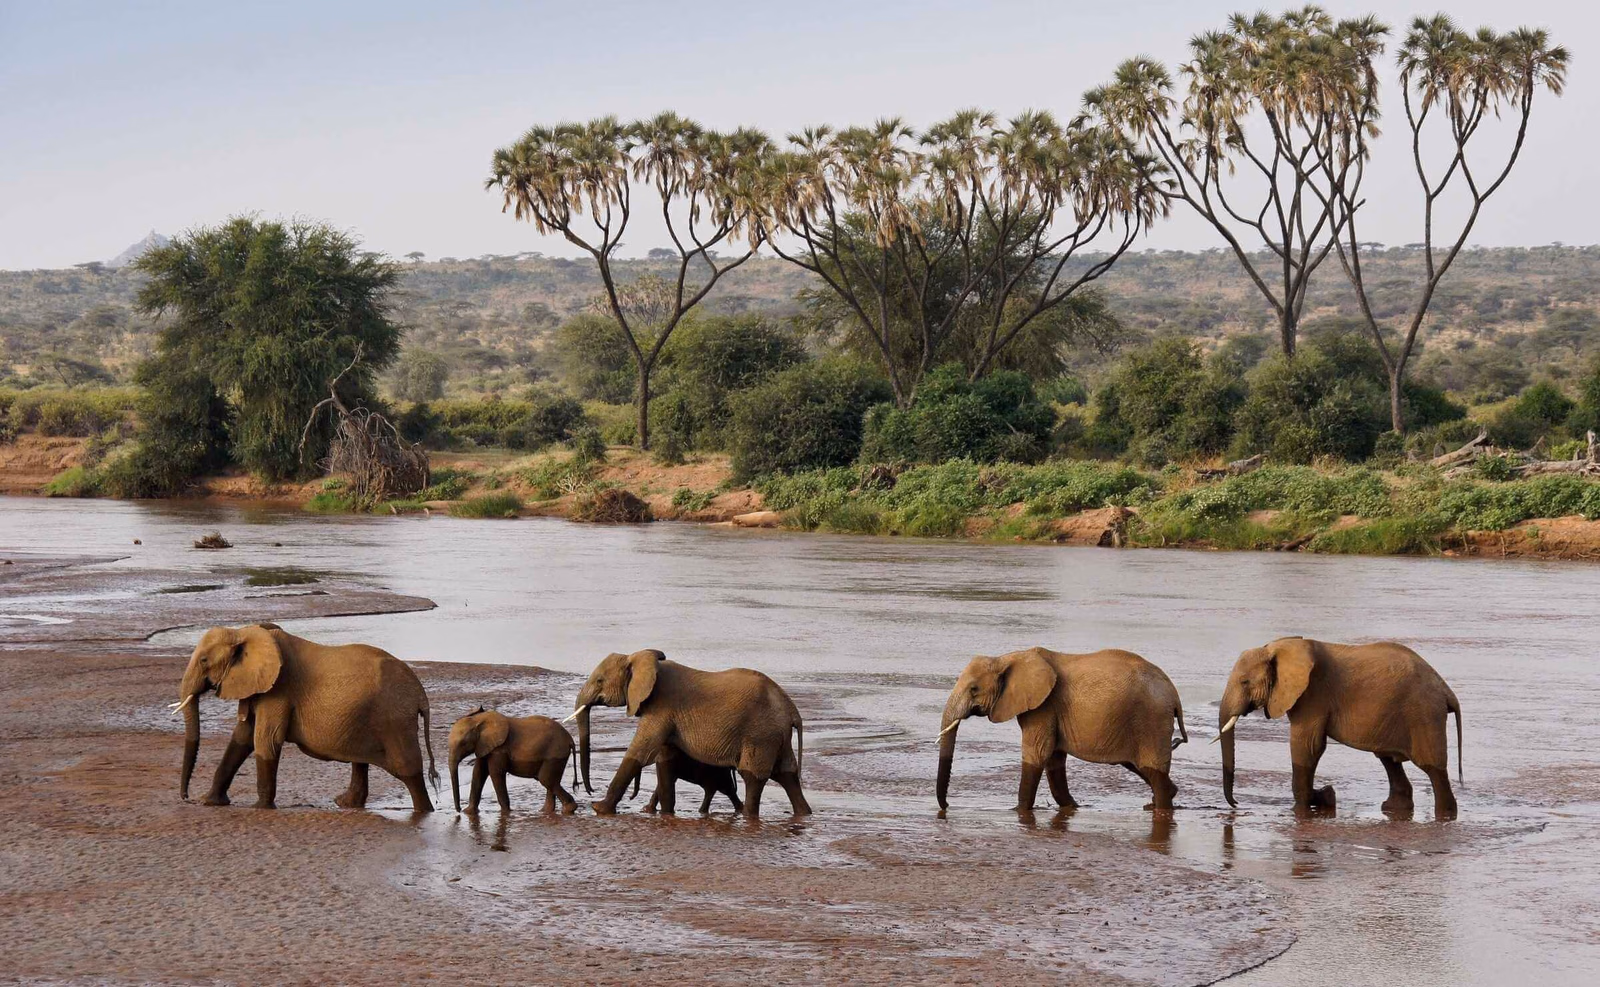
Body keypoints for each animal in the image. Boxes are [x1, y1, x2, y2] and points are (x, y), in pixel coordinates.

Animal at [175, 623, 438, 811]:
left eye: (204, 660)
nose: (186, 798)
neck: (243, 632)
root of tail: (420, 695)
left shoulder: (279, 689)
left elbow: (266, 740)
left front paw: (260, 808)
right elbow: (241, 738)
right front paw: (209, 802)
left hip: (395, 719)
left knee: (408, 770)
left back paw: (424, 812)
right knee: (361, 760)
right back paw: (345, 804)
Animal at [448, 707, 578, 814]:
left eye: (463, 743)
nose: (458, 810)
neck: (478, 720)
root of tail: (570, 739)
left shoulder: (499, 749)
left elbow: (495, 773)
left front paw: (506, 813)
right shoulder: (484, 745)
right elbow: (478, 773)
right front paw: (468, 812)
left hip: (555, 754)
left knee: (546, 780)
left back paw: (568, 809)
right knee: (551, 781)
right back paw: (545, 811)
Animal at [571, 649, 810, 818]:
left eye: (600, 681)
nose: (589, 790)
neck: (639, 658)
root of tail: (792, 711)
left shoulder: (661, 707)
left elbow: (641, 751)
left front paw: (599, 809)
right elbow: (665, 760)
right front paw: (666, 814)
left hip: (760, 735)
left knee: (752, 776)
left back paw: (749, 817)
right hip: (776, 736)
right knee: (787, 774)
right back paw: (804, 814)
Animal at [937, 647, 1188, 813]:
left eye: (973, 689)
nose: (947, 806)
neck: (1007, 658)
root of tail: (1174, 694)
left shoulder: (1044, 706)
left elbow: (1037, 754)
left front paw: (1018, 811)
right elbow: (1054, 759)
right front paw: (1070, 807)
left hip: (1151, 720)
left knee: (1152, 768)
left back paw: (1162, 806)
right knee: (1138, 765)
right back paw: (1160, 800)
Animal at [1216, 637, 1463, 819]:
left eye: (1244, 682)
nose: (1236, 803)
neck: (1279, 648)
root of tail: (1446, 690)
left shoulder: (1313, 695)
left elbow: (1308, 747)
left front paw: (1311, 803)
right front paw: (1326, 797)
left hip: (1424, 714)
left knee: (1432, 768)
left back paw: (1445, 815)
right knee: (1388, 760)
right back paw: (1393, 809)